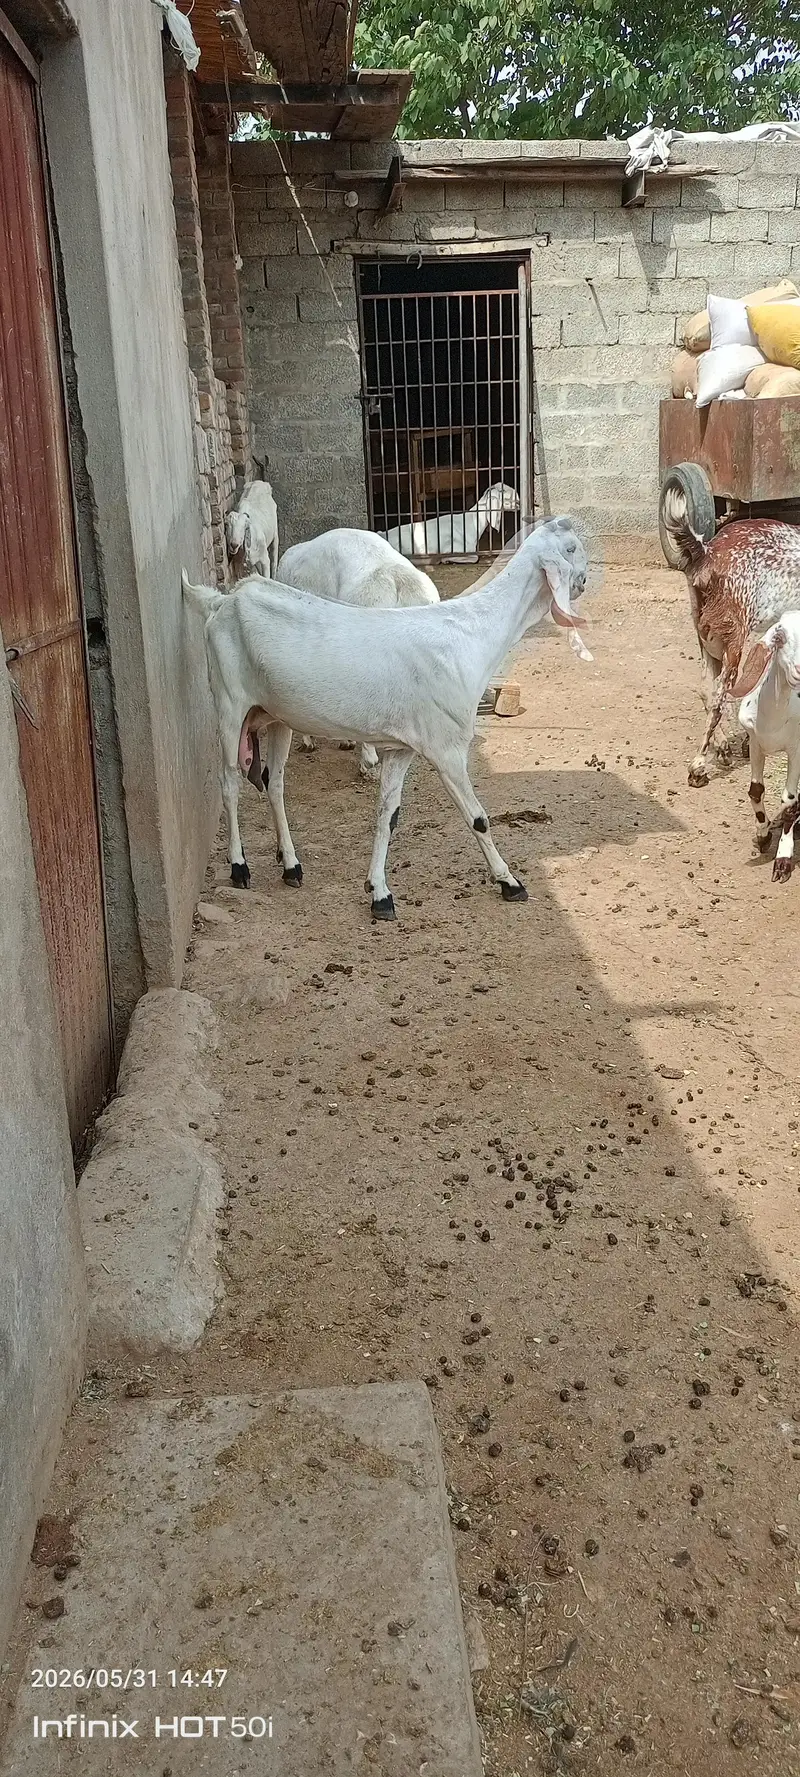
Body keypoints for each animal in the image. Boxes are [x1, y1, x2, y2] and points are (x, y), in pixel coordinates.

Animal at [659, 502, 800, 785]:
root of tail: (707, 552)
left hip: (708, 639)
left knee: (708, 690)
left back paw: (724, 747)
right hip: (734, 641)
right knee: (720, 697)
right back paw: (699, 765)